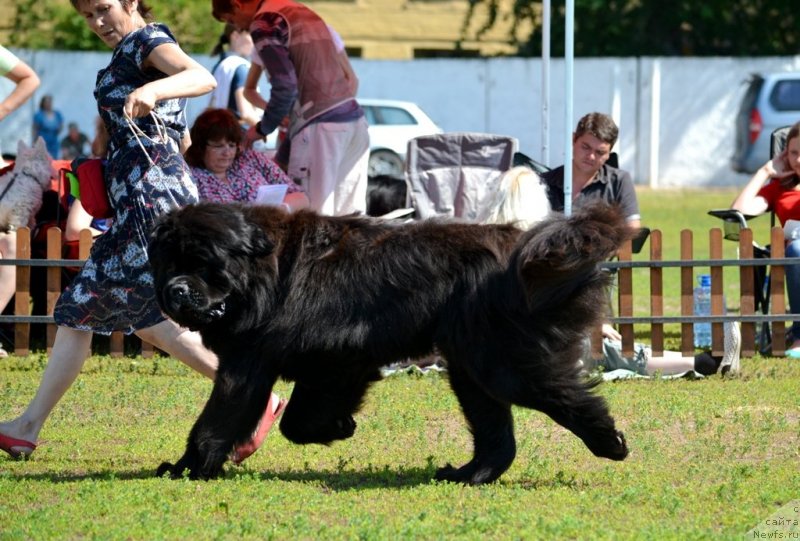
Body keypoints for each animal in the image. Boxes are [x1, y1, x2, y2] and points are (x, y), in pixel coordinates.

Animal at [147, 200, 628, 484]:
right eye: (166, 264)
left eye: (203, 263)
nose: (176, 291)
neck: (268, 273)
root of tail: (519, 247)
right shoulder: (278, 364)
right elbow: (258, 418)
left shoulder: (313, 362)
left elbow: (236, 420)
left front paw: (188, 468)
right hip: (470, 365)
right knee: (494, 428)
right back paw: (470, 474)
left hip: (499, 361)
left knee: (558, 393)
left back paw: (609, 441)